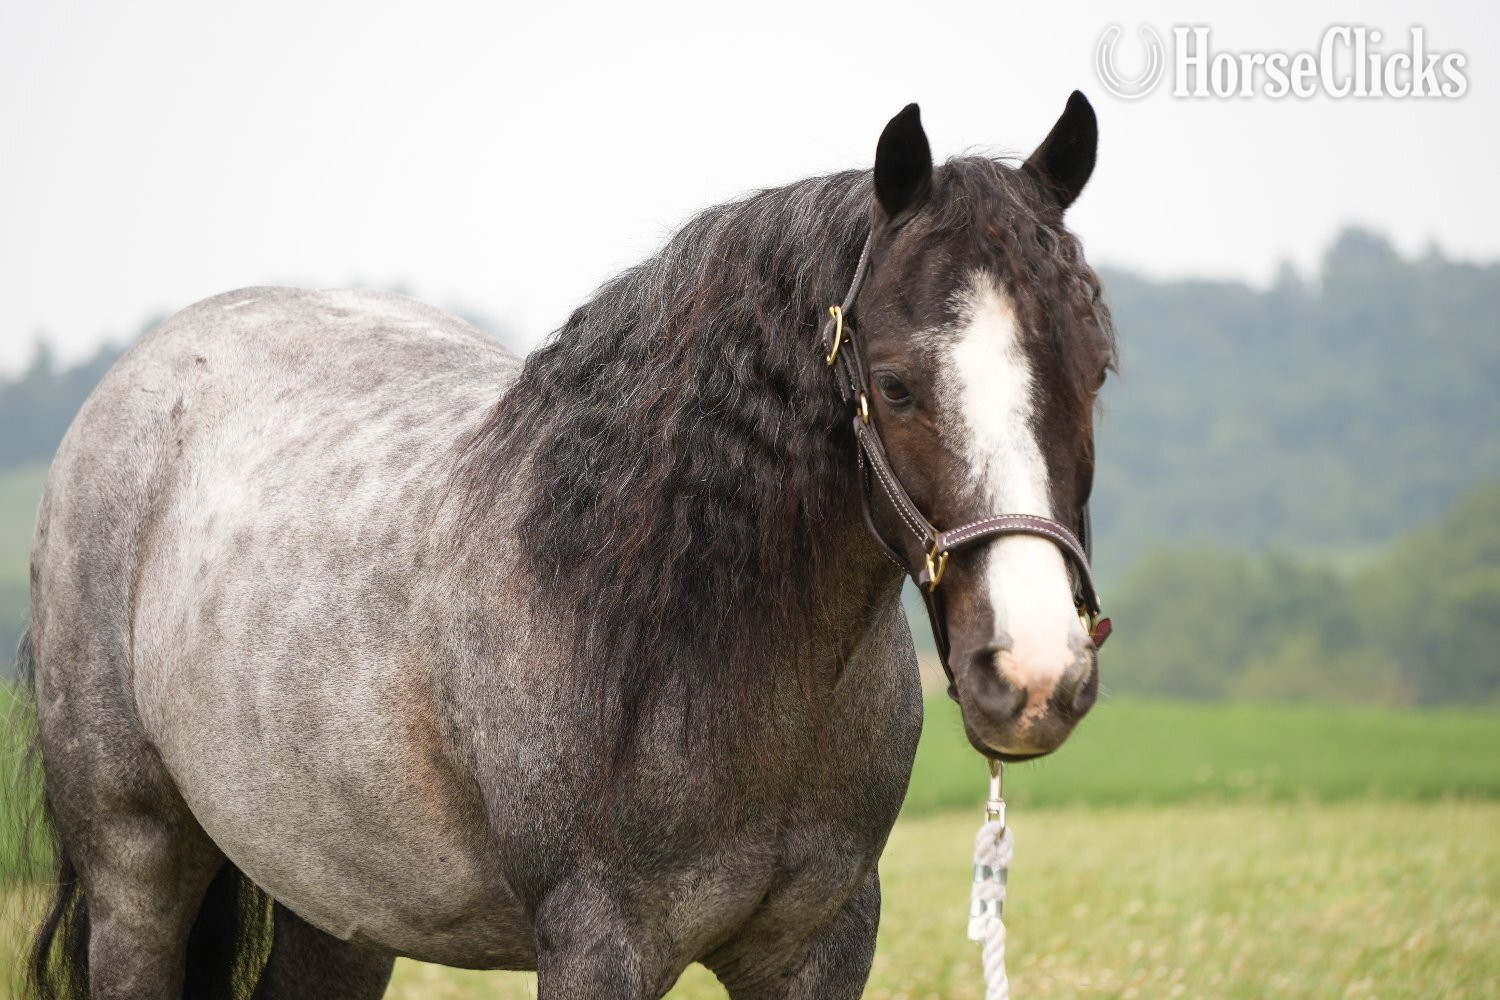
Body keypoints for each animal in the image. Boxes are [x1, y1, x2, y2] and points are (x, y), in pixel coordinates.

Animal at [20, 92, 1115, 999]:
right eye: (893, 384)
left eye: (1097, 369)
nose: (1033, 672)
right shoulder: (598, 943)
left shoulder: (824, 943)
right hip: (138, 868)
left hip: (338, 903)